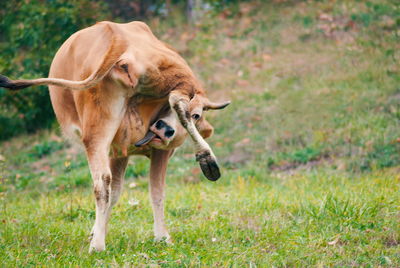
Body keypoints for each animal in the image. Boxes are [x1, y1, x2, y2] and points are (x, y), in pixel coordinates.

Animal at [0, 20, 230, 251]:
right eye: (197, 115)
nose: (163, 129)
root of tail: (116, 35)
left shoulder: (121, 151)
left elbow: (128, 190)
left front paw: (97, 232)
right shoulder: (160, 149)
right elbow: (152, 190)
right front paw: (162, 237)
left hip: (102, 128)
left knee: (103, 181)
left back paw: (97, 243)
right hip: (176, 79)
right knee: (177, 100)